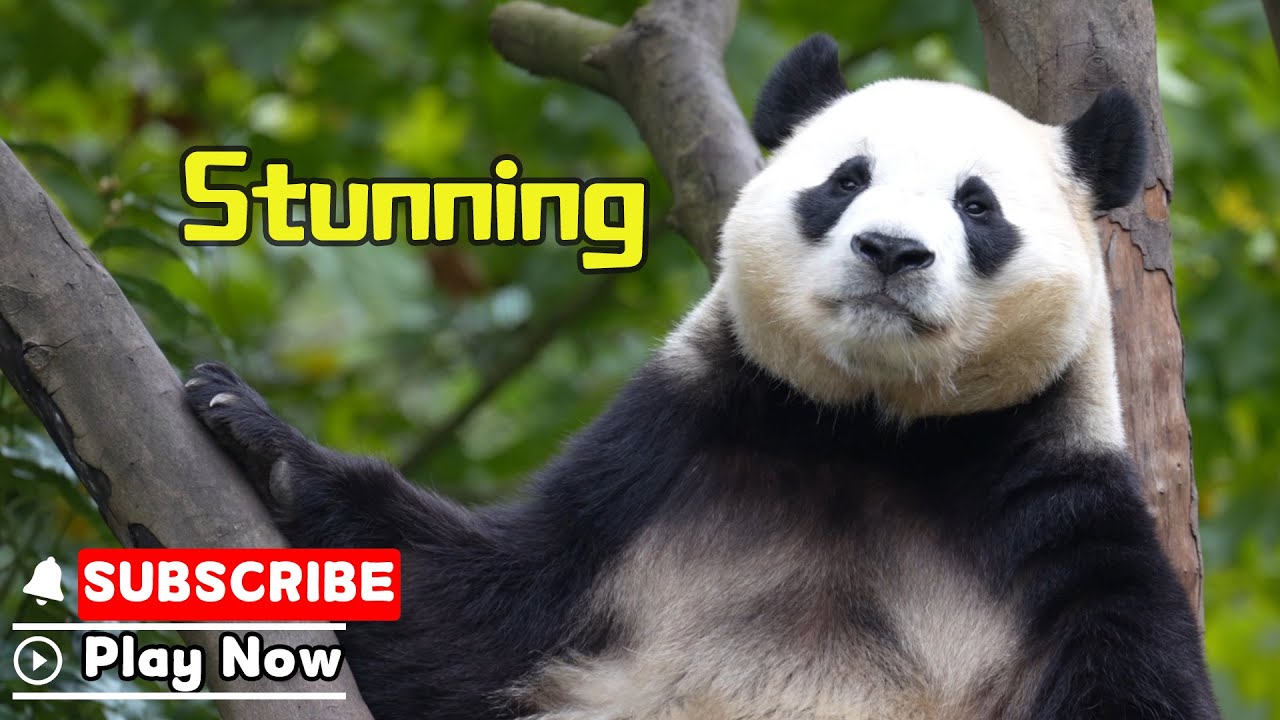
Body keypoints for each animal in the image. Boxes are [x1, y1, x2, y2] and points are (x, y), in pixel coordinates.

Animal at [184, 33, 1219, 720]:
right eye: (846, 179)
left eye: (977, 205)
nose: (891, 251)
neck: (872, 434)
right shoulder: (659, 464)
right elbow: (469, 619)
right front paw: (258, 435)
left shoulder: (1051, 515)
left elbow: (1134, 683)